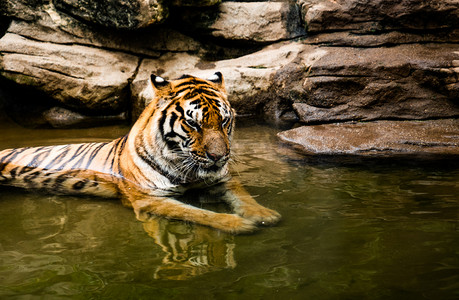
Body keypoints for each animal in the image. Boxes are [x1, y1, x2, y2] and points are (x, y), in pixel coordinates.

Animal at [0, 71, 280, 233]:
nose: (219, 156)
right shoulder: (149, 197)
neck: (185, 167)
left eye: (223, 121)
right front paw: (237, 224)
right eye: (193, 123)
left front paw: (264, 215)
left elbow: (243, 196)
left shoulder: (221, 178)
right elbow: (195, 212)